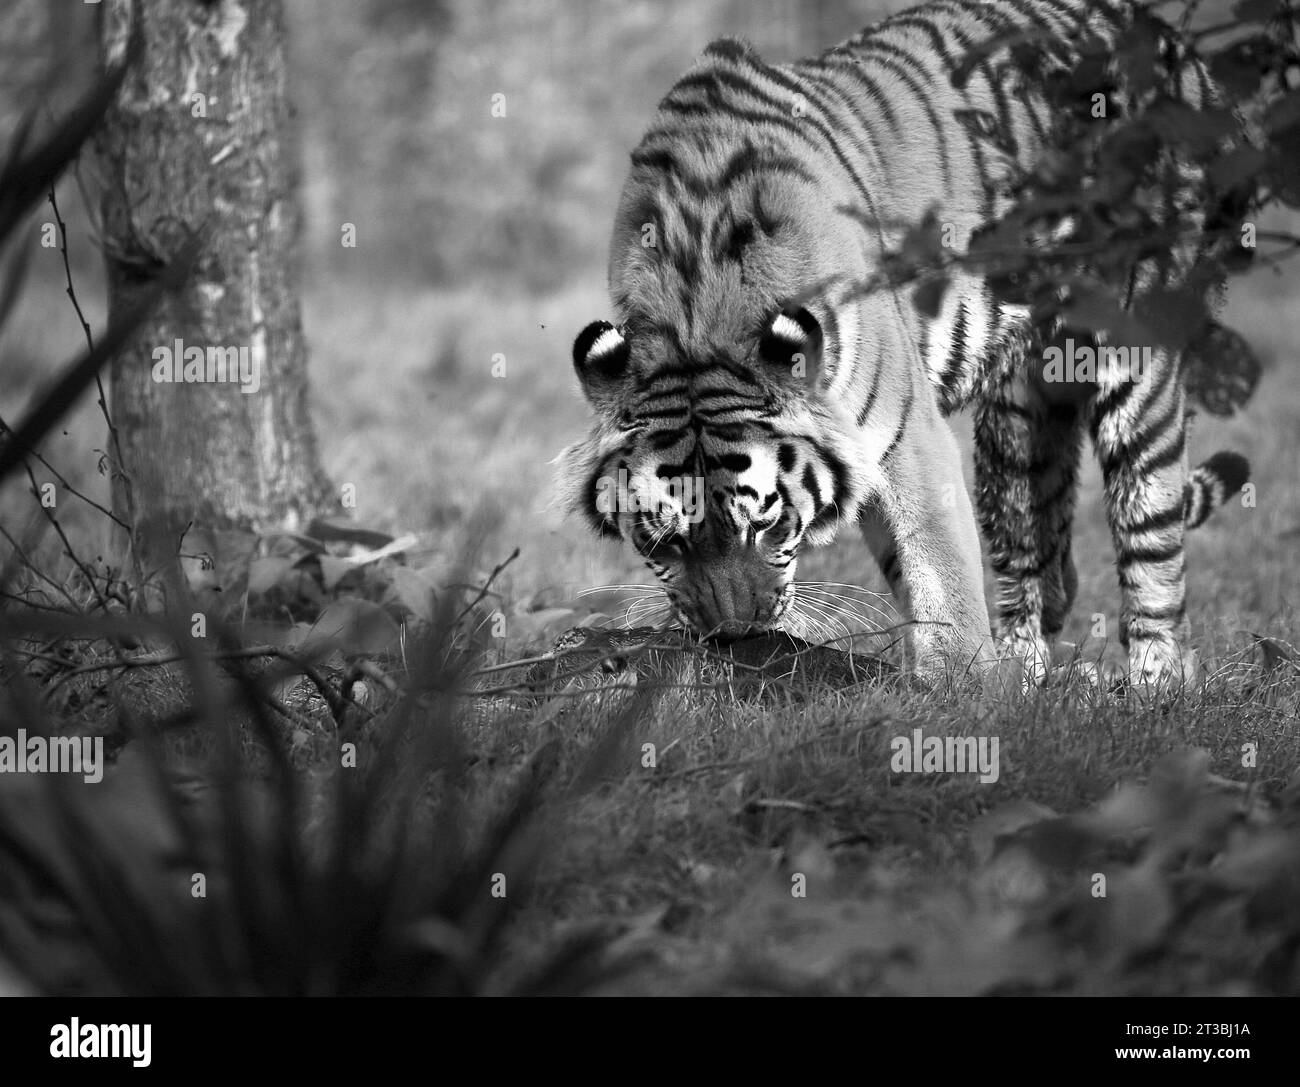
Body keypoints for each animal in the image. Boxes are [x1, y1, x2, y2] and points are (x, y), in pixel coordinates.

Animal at [558, 0, 1252, 690]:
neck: (697, 313)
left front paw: (968, 693)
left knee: (1153, 540)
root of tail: (1172, 45)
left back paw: (1155, 682)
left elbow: (939, 572)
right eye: (664, 543)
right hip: (1020, 415)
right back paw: (1029, 676)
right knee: (1041, 558)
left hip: (1140, 356)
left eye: (767, 523)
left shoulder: (904, 436)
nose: (734, 635)